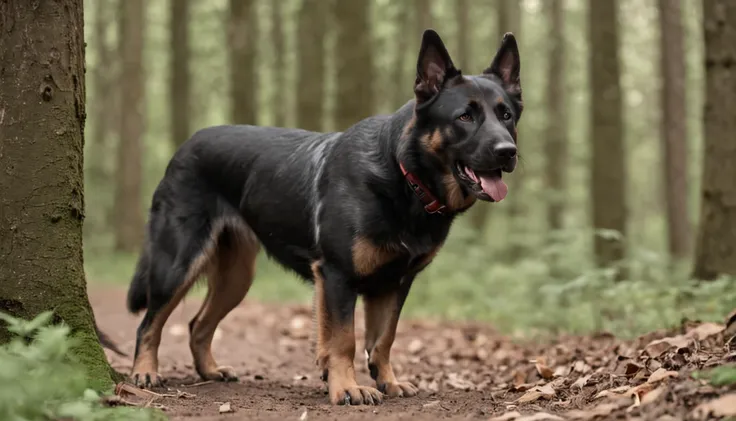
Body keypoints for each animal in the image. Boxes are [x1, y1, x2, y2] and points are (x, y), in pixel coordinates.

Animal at [128, 28, 524, 404]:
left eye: (506, 115)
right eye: (464, 117)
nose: (508, 151)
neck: (403, 175)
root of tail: (184, 147)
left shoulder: (393, 283)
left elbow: (384, 339)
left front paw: (387, 381)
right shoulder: (337, 276)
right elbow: (344, 339)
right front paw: (347, 388)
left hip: (237, 277)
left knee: (197, 324)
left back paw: (209, 370)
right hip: (177, 265)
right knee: (149, 323)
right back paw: (144, 373)